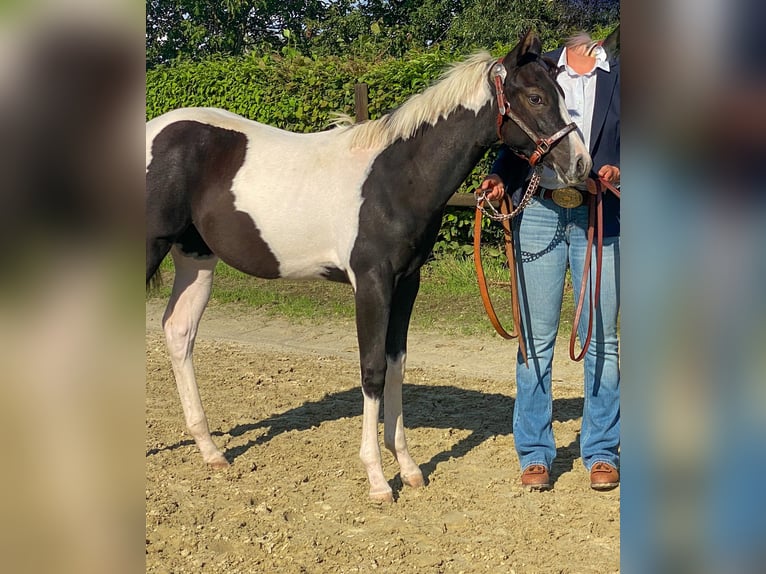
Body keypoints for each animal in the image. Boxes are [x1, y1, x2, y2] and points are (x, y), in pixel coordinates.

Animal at [146, 29, 591, 503]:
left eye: (561, 94)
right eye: (535, 97)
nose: (580, 163)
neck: (395, 178)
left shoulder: (406, 282)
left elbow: (396, 365)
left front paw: (409, 469)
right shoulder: (372, 283)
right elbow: (373, 370)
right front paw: (378, 480)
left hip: (195, 257)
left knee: (179, 332)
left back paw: (211, 451)